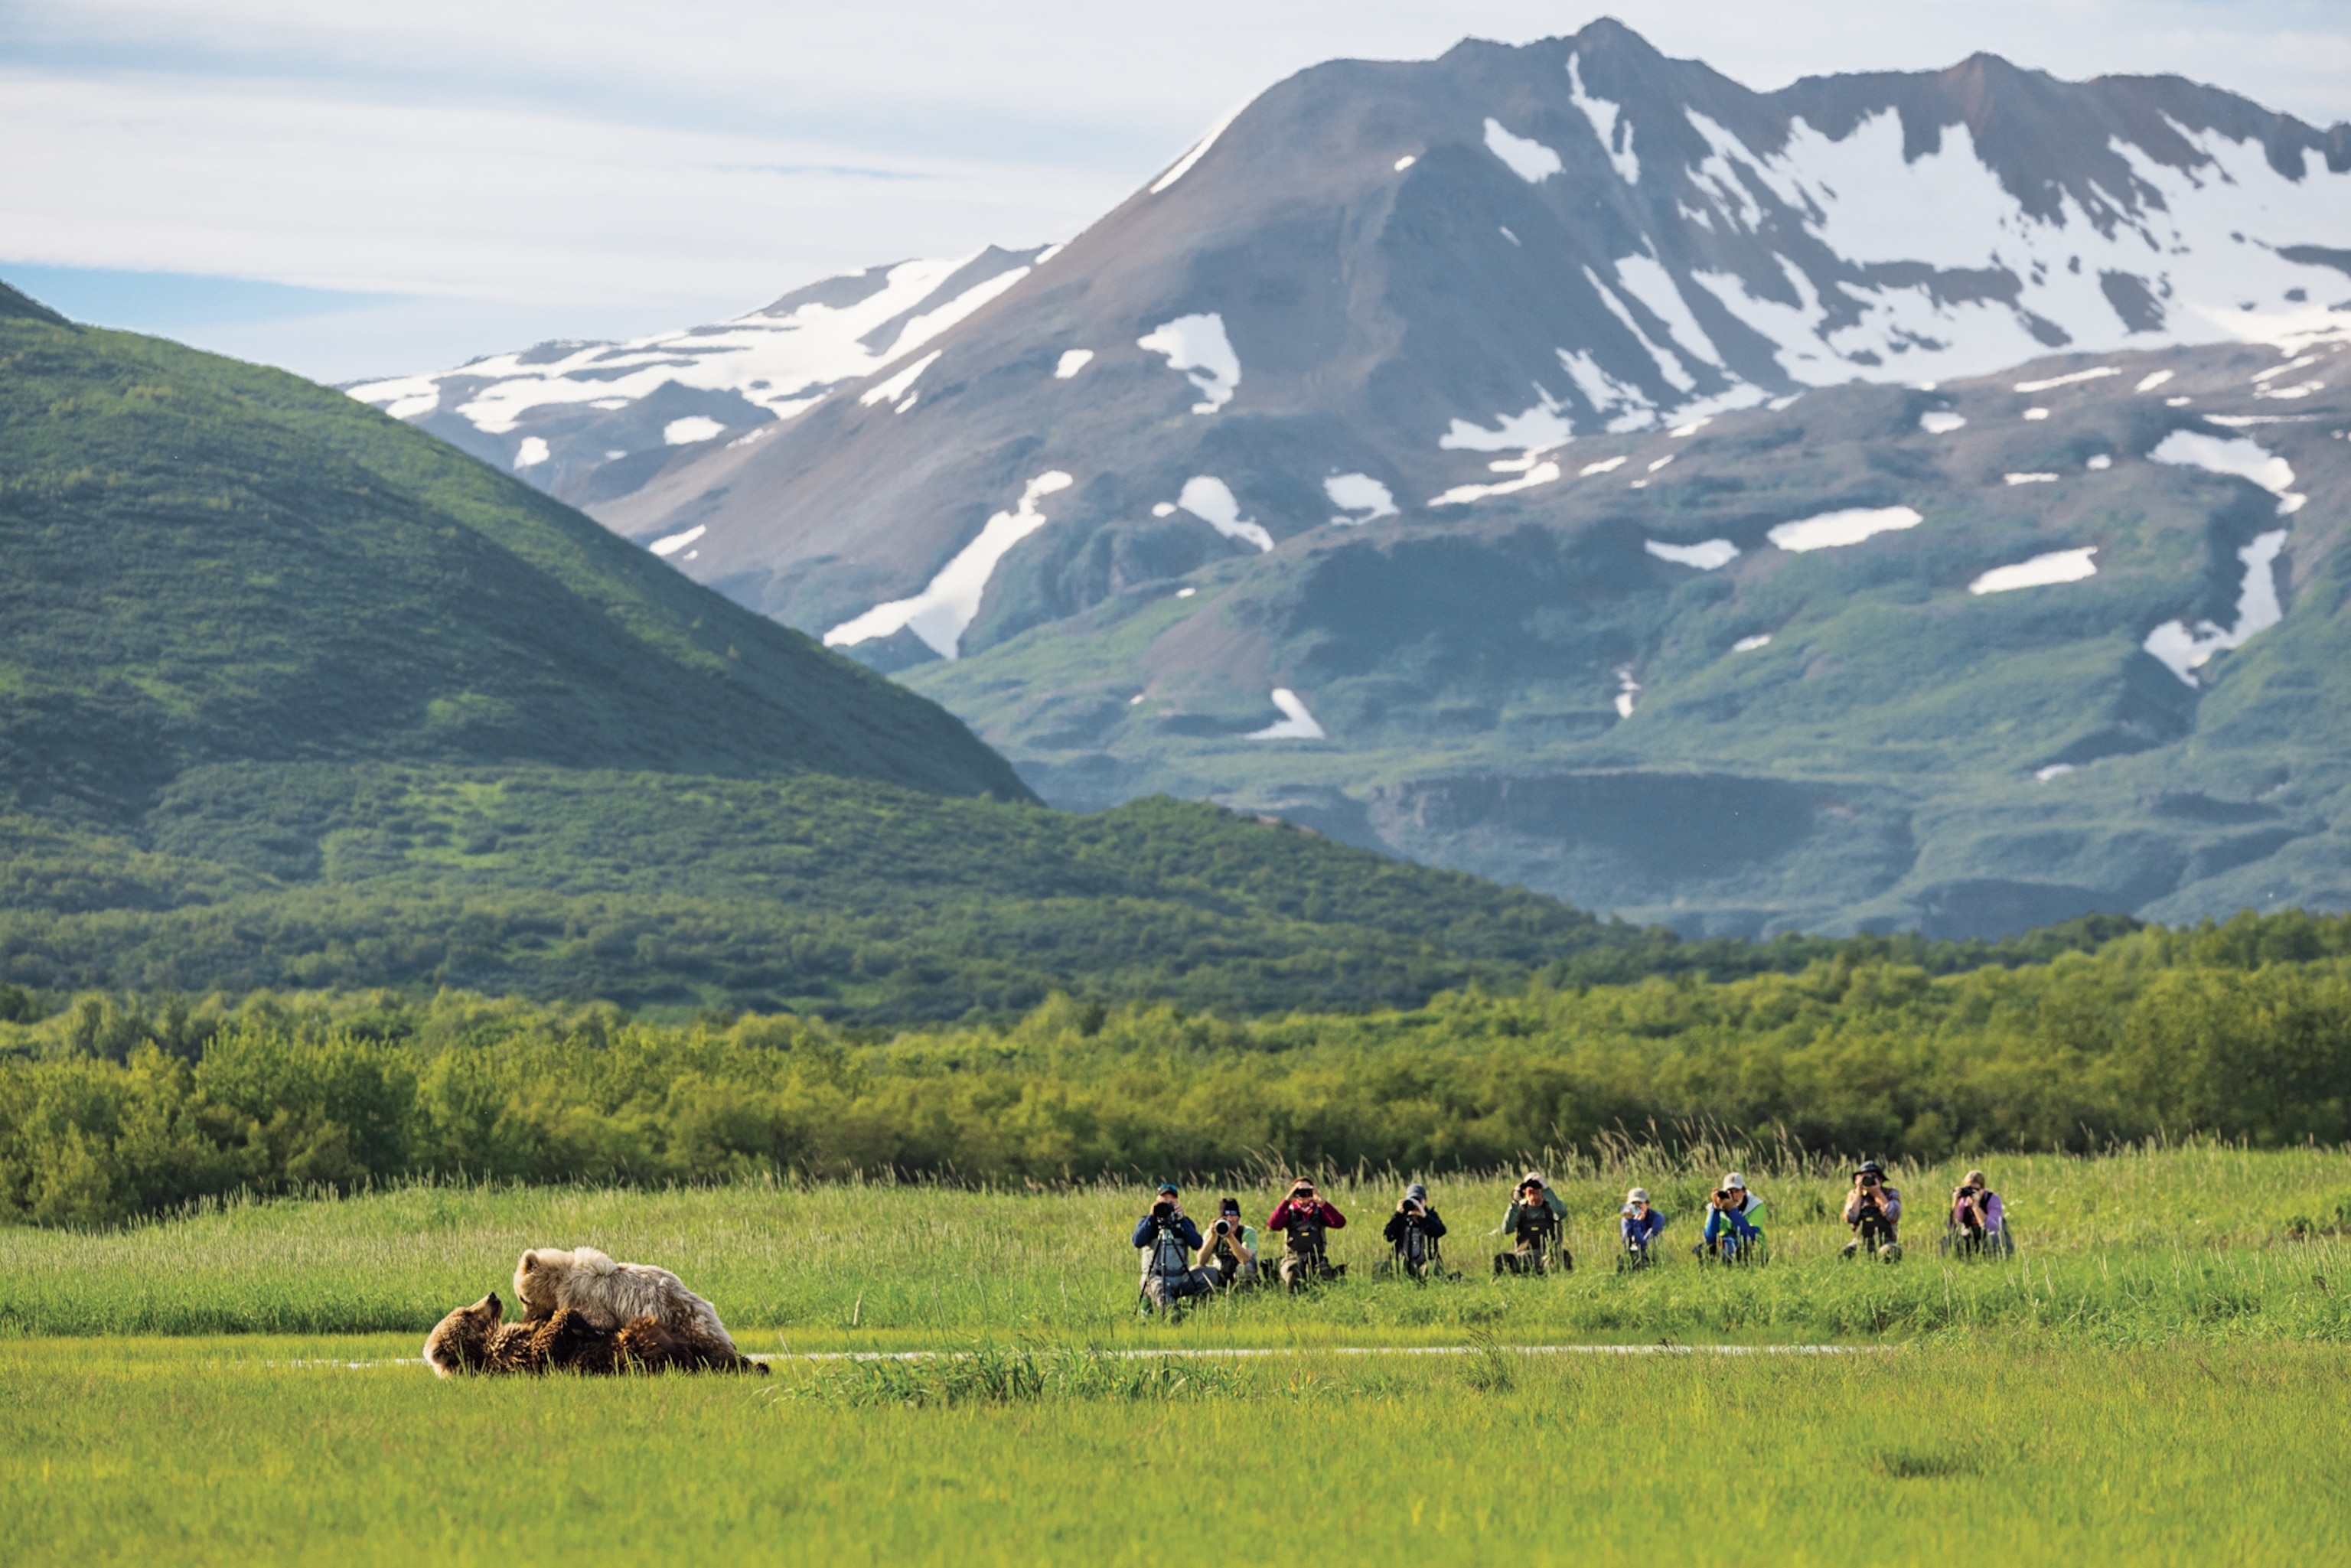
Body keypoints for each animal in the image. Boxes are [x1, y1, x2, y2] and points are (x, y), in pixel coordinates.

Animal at [510, 1250, 738, 1363]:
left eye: (522, 1298)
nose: (527, 1318)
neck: (560, 1282)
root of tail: (707, 1304)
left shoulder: (588, 1296)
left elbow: (596, 1318)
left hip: (686, 1317)